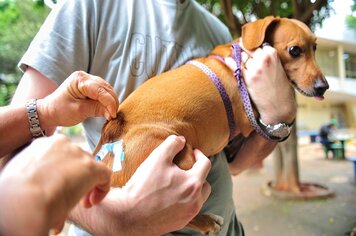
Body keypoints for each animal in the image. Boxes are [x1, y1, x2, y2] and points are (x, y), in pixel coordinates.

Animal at [94, 16, 328, 234]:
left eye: (315, 47)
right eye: (294, 50)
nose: (324, 87)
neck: (238, 58)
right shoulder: (248, 120)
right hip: (181, 158)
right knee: (173, 217)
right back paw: (207, 221)